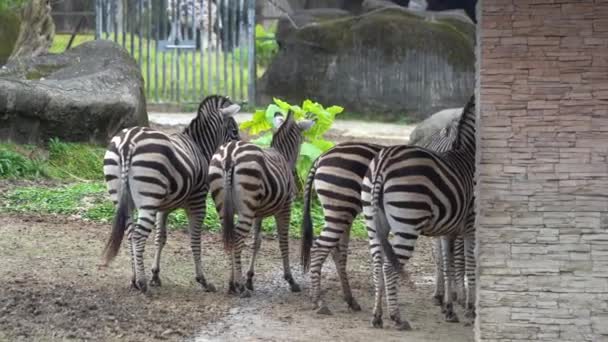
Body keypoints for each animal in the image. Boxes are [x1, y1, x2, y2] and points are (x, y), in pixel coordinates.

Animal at [101, 94, 240, 294]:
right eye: (235, 131)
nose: (236, 151)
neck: (200, 146)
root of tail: (127, 142)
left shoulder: (162, 208)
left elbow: (160, 238)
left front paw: (155, 275)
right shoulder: (198, 201)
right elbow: (195, 239)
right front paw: (202, 280)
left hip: (122, 197)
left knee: (130, 234)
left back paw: (135, 279)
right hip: (148, 200)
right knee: (138, 235)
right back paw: (142, 283)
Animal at [209, 110, 314, 296]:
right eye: (302, 140)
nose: (296, 172)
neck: (282, 154)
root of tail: (229, 154)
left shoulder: (258, 213)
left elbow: (257, 242)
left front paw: (250, 279)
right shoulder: (285, 207)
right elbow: (283, 240)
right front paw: (290, 279)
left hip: (224, 207)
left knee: (229, 238)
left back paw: (232, 284)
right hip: (246, 208)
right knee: (237, 239)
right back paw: (240, 286)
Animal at [300, 120, 460, 316]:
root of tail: (321, 156)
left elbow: (440, 255)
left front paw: (442, 296)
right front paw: (450, 297)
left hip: (343, 211)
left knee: (337, 251)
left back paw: (350, 300)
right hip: (341, 207)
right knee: (322, 248)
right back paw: (320, 302)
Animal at [360, 95, 476, 330]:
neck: (467, 154)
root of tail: (383, 162)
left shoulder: (448, 229)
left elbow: (447, 264)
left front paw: (449, 309)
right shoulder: (470, 225)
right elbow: (467, 263)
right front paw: (469, 308)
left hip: (372, 222)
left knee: (377, 264)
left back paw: (377, 316)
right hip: (407, 222)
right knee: (389, 267)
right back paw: (397, 317)